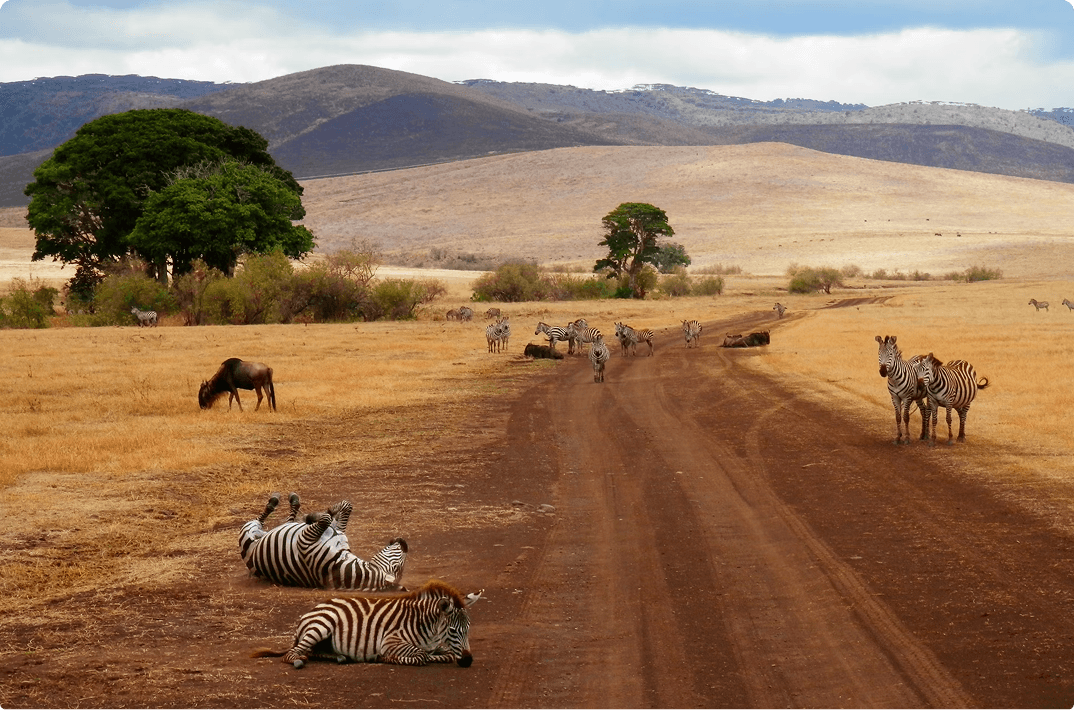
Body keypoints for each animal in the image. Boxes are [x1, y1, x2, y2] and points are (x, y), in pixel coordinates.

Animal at [239, 493, 407, 591]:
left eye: (398, 566)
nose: (405, 543)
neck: (342, 561)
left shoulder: (304, 541)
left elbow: (326, 519)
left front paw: (313, 516)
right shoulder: (339, 532)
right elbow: (346, 507)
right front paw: (330, 511)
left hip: (247, 532)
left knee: (260, 519)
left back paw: (276, 501)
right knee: (287, 521)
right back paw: (293, 503)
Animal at [251, 580, 483, 669]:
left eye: (468, 629)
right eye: (452, 630)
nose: (468, 661)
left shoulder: (438, 646)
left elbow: (446, 653)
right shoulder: (390, 641)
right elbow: (421, 656)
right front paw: (386, 658)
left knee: (311, 651)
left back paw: (340, 657)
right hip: (321, 626)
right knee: (294, 654)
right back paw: (299, 661)